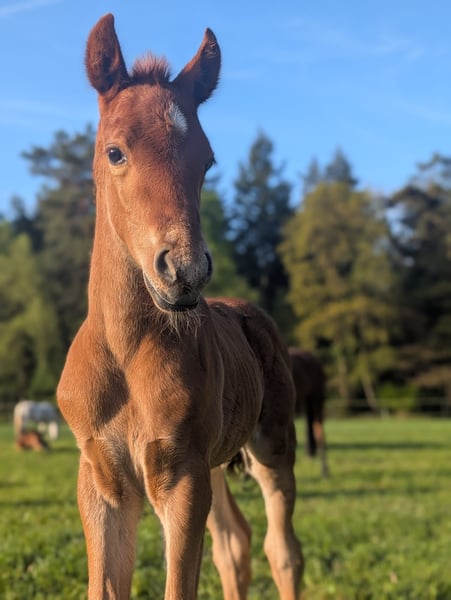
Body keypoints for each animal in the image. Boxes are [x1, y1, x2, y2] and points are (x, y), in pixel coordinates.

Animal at [57, 14, 303, 600]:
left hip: (272, 446)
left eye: (207, 160)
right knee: (234, 545)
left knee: (281, 549)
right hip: (215, 463)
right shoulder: (101, 480)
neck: (125, 352)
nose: (185, 271)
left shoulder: (181, 475)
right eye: (115, 152)